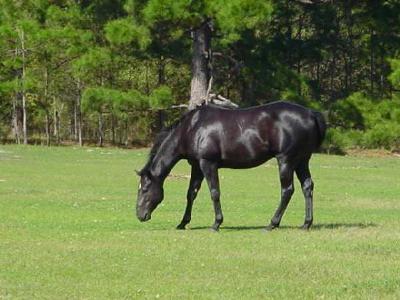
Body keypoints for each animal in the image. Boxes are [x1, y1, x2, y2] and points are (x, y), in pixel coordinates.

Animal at [136, 102, 326, 231]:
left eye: (144, 189)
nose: (139, 215)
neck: (192, 128)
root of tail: (311, 113)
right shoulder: (196, 165)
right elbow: (191, 194)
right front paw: (183, 223)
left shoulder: (208, 164)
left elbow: (214, 193)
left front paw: (216, 223)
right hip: (301, 161)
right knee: (307, 187)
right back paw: (306, 223)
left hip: (286, 160)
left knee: (287, 190)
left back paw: (272, 223)